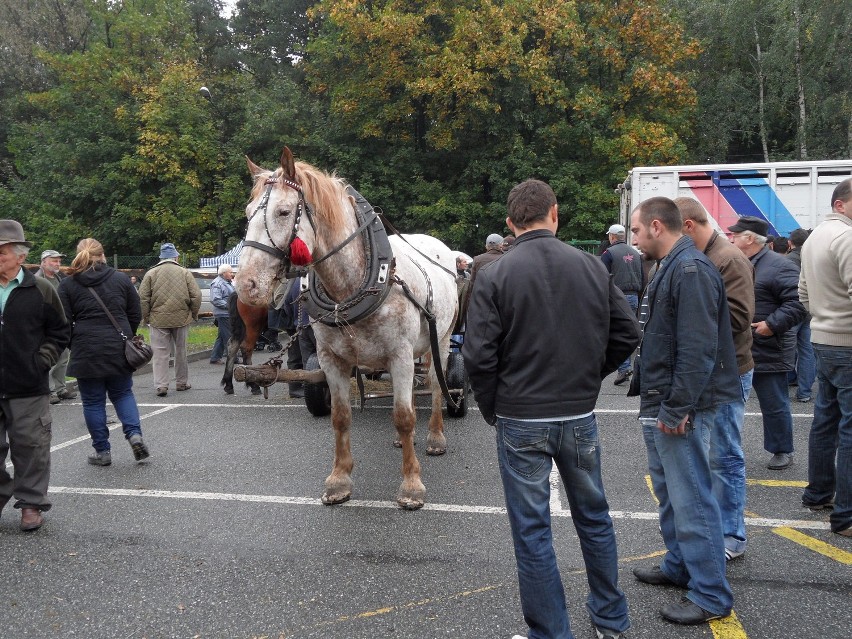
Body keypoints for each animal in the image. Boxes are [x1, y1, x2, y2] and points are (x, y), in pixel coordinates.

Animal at [233, 146, 460, 510]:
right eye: (248, 212)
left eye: (283, 212)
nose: (246, 285)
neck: (354, 285)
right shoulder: (332, 359)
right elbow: (340, 417)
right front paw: (339, 480)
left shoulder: (399, 354)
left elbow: (405, 417)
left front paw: (411, 485)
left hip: (440, 338)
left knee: (437, 385)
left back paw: (436, 436)